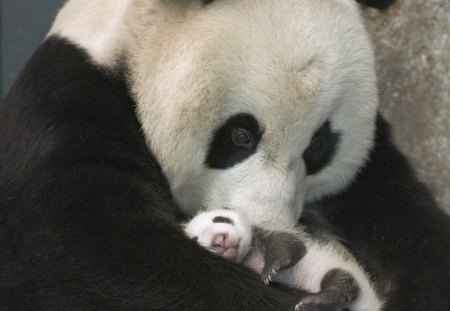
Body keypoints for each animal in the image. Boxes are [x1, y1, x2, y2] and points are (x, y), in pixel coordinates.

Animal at [185, 210, 382, 311]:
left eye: (221, 219)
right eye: (195, 240)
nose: (220, 240)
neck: (249, 258)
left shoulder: (263, 235)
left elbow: (290, 246)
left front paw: (270, 270)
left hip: (346, 272)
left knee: (340, 283)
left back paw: (314, 300)